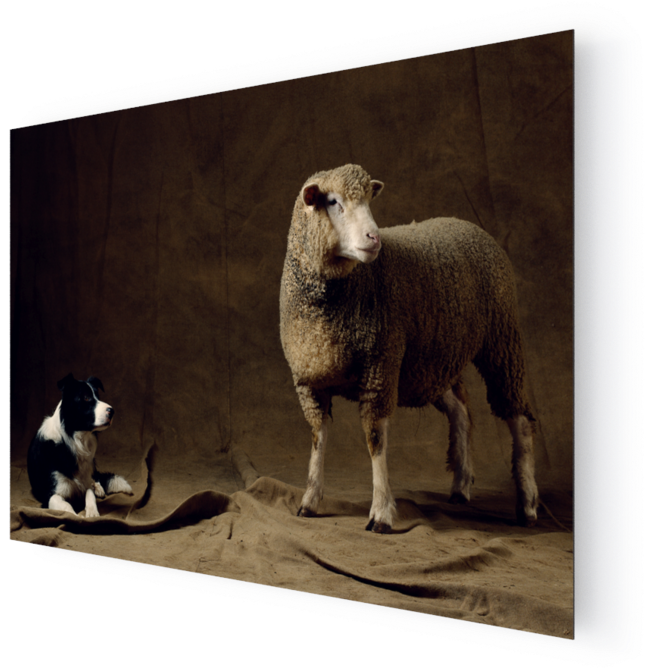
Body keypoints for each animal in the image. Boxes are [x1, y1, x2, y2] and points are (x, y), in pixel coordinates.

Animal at [279, 163, 539, 533]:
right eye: (332, 202)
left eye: (370, 200)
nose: (374, 239)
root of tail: (468, 225)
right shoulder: (310, 379)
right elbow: (318, 437)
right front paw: (310, 500)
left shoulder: (380, 367)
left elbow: (375, 439)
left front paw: (381, 512)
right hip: (433, 361)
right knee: (462, 410)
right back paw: (461, 485)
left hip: (501, 340)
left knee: (519, 417)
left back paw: (527, 503)